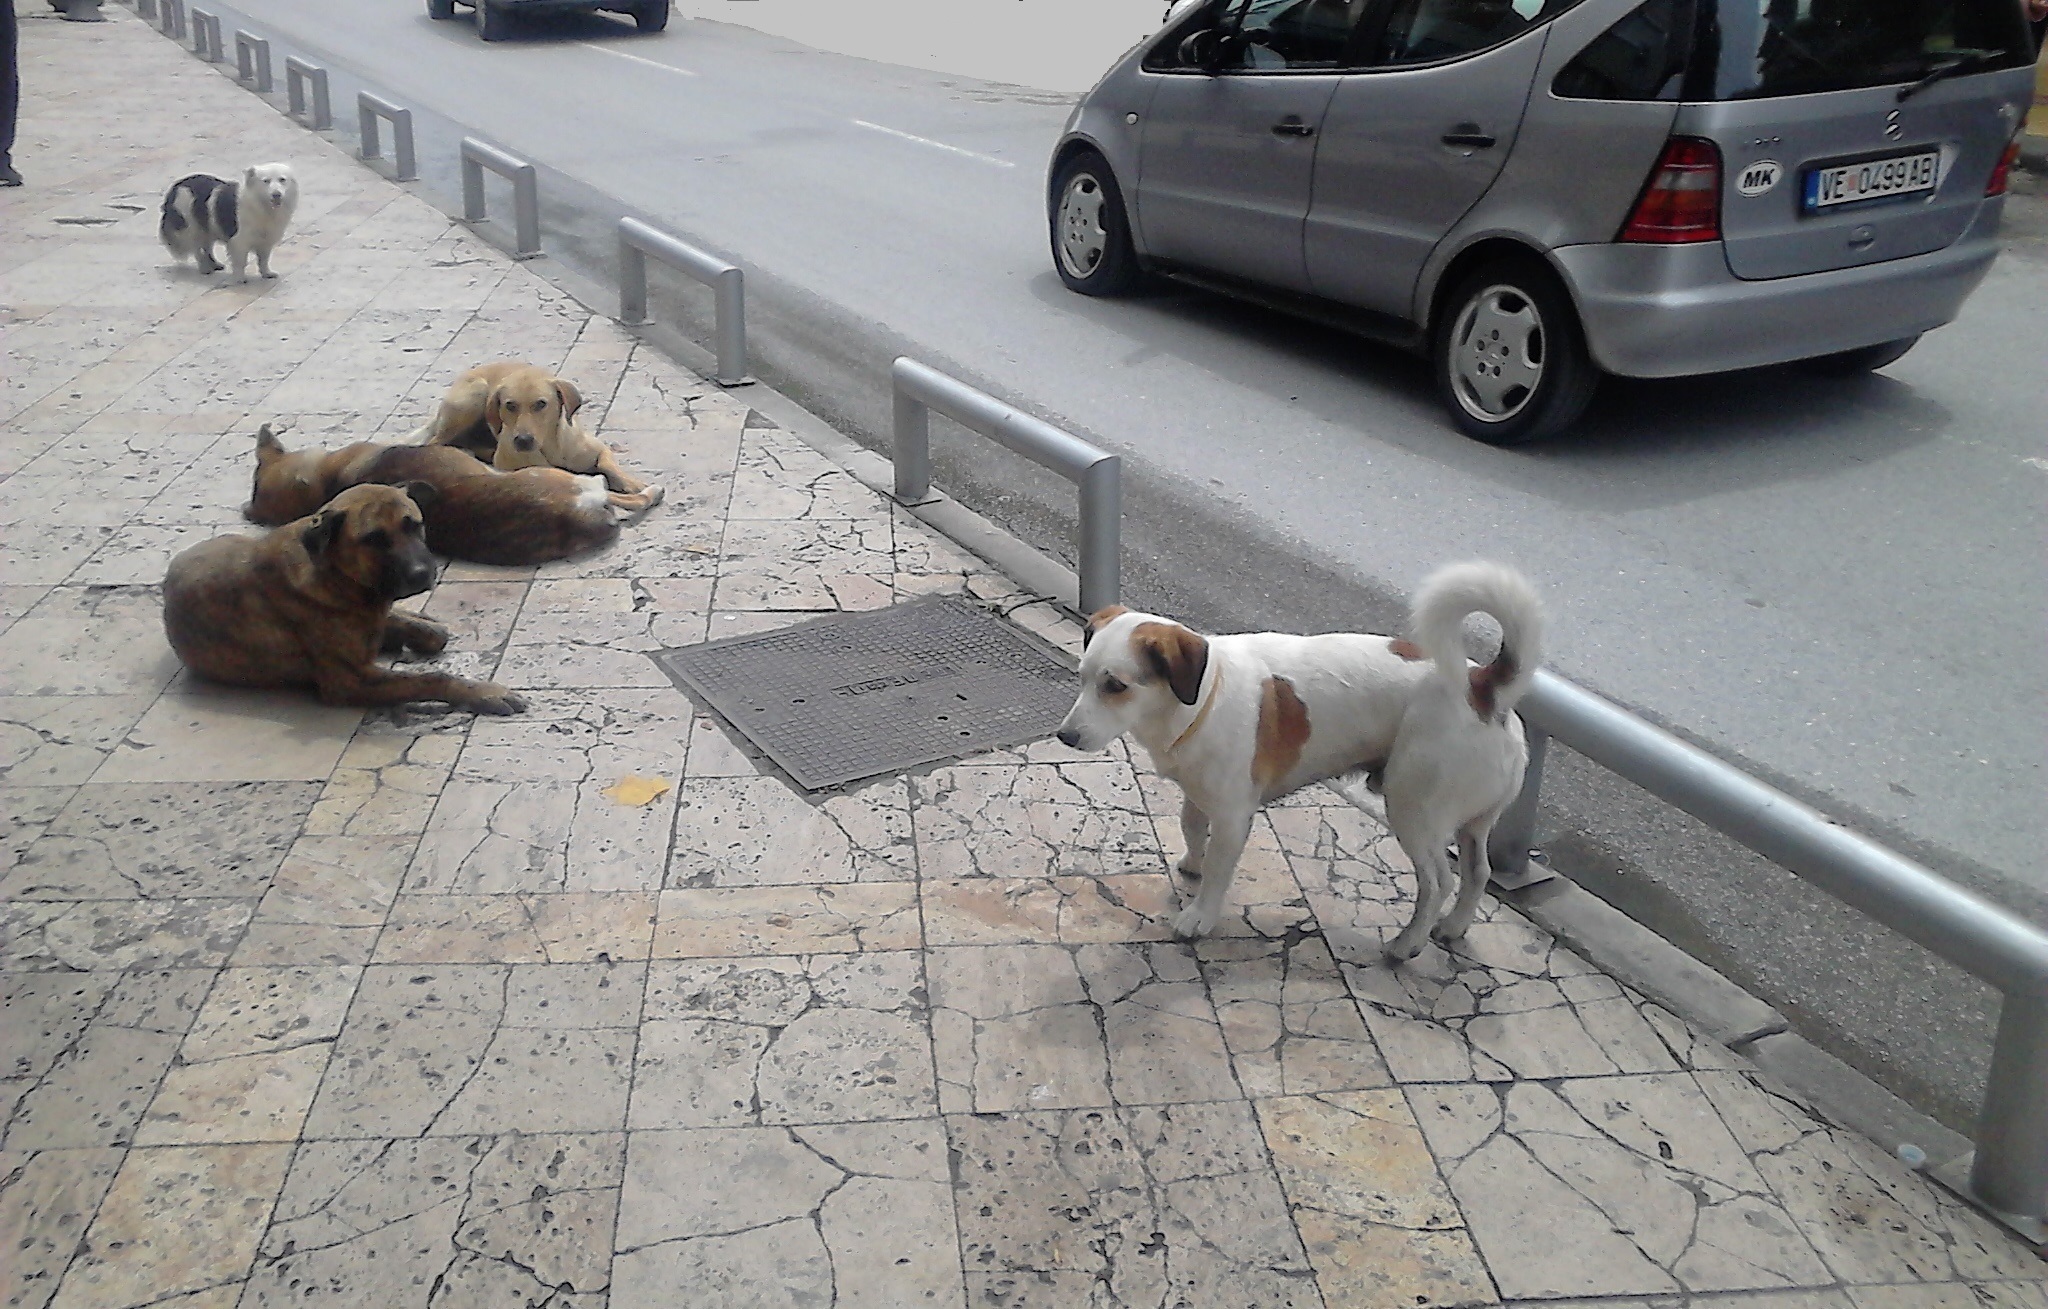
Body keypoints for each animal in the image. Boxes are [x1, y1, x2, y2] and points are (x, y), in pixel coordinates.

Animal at [157, 163, 299, 282]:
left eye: (282, 180)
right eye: (266, 181)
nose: (276, 194)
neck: (261, 206)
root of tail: (176, 186)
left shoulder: (265, 240)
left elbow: (263, 260)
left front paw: (266, 273)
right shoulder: (239, 241)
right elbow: (240, 261)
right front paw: (239, 279)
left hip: (208, 226)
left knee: (207, 247)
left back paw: (215, 264)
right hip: (191, 227)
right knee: (197, 249)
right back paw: (204, 268)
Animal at [163, 479, 528, 712]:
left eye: (414, 525)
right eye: (374, 539)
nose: (422, 574)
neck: (336, 577)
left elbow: (429, 633)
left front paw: (414, 627)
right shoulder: (352, 682)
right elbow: (432, 678)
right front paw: (481, 692)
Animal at [399, 358, 655, 512]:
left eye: (541, 404)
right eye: (510, 405)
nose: (522, 440)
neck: (552, 448)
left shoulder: (597, 448)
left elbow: (608, 463)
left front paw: (631, 483)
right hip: (474, 396)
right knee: (436, 442)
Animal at [1056, 557, 1540, 958]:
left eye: (1115, 686)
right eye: (1082, 677)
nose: (1064, 736)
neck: (1203, 695)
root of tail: (1482, 687)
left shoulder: (1233, 815)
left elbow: (1217, 869)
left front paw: (1200, 914)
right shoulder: (1198, 791)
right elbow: (1191, 827)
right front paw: (1192, 863)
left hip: (1414, 809)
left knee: (1439, 882)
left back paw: (1407, 945)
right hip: (1474, 823)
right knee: (1478, 872)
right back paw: (1454, 927)